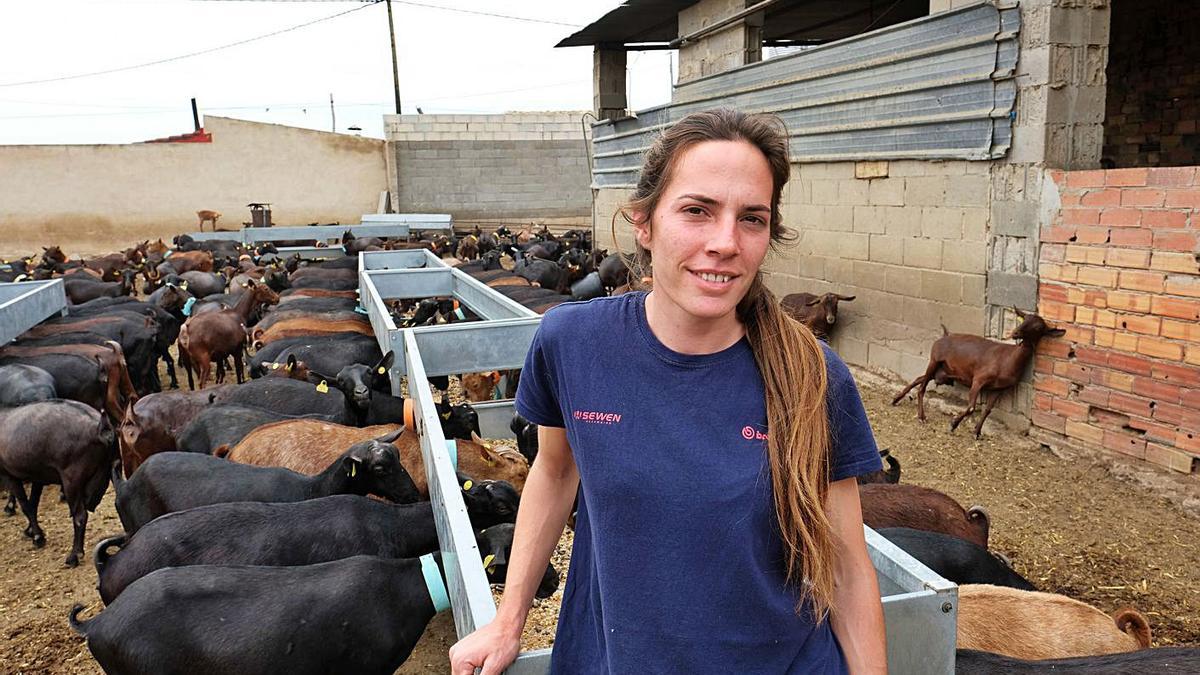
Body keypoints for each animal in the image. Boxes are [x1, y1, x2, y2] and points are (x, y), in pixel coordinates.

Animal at [892, 309, 1070, 437]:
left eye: (1038, 327)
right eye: (1024, 318)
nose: (1015, 333)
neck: (1009, 359)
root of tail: (945, 335)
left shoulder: (1000, 388)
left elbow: (988, 410)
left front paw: (976, 432)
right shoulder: (978, 379)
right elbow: (971, 407)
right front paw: (954, 424)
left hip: (941, 369)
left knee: (919, 379)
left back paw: (896, 399)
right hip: (934, 359)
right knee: (922, 387)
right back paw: (921, 417)